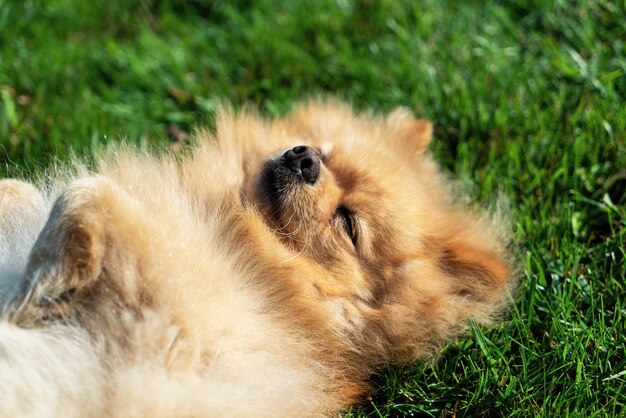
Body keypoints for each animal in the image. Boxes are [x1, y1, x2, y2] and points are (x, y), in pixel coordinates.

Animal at [0, 99, 512, 416]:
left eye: (348, 223)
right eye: (322, 148)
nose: (305, 158)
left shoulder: (163, 329)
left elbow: (87, 192)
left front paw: (27, 300)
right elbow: (22, 191)